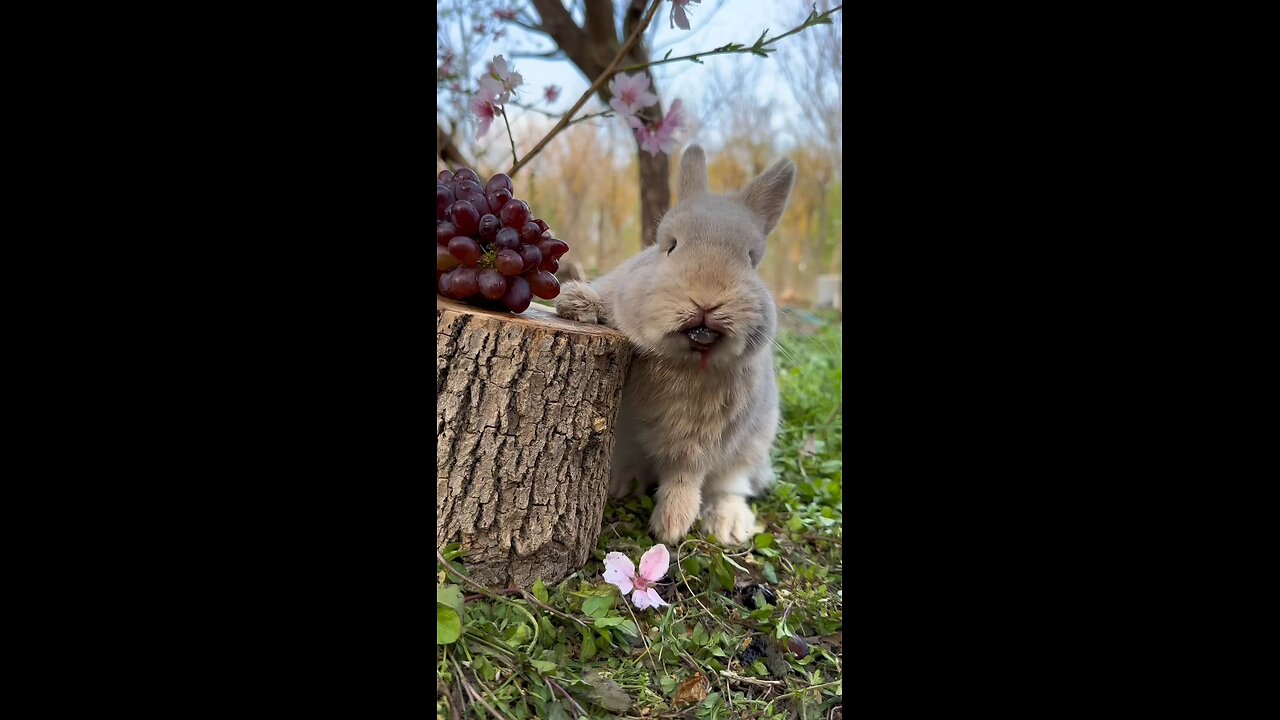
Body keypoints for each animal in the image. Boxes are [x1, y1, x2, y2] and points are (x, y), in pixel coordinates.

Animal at [555, 142, 793, 540]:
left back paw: (728, 525)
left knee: (731, 486)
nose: (707, 300)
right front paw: (575, 302)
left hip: (752, 449)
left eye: (750, 259)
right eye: (670, 246)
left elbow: (685, 478)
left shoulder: (701, 441)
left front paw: (671, 527)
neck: (684, 360)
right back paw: (620, 484)